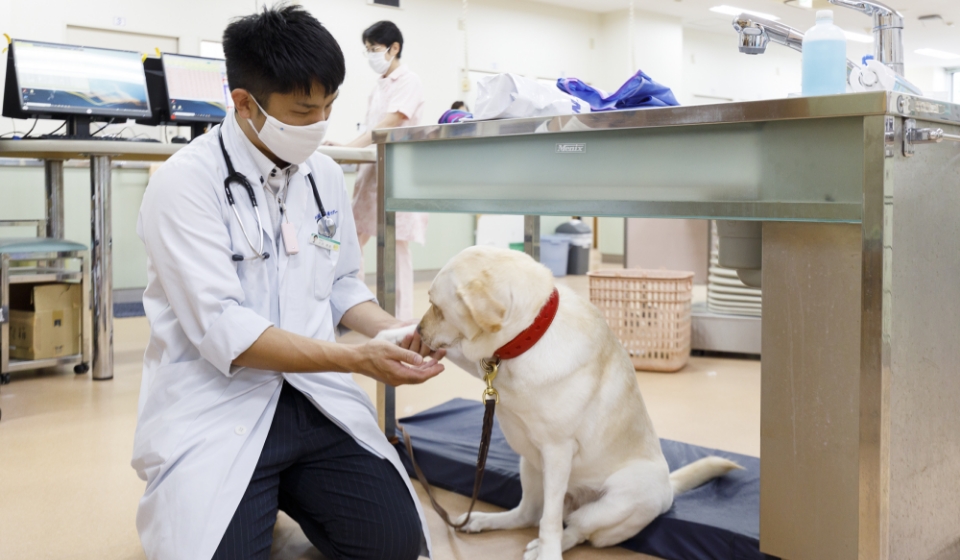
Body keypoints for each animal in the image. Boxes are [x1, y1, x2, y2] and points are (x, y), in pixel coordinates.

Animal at [378, 247, 740, 556]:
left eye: (437, 307)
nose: (421, 332)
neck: (528, 338)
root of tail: (669, 486)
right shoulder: (486, 362)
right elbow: (457, 352)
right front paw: (389, 336)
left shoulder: (557, 451)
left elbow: (550, 521)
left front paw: (548, 550)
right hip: (529, 465)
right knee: (526, 514)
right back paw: (483, 520)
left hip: (621, 499)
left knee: (577, 528)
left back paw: (545, 547)